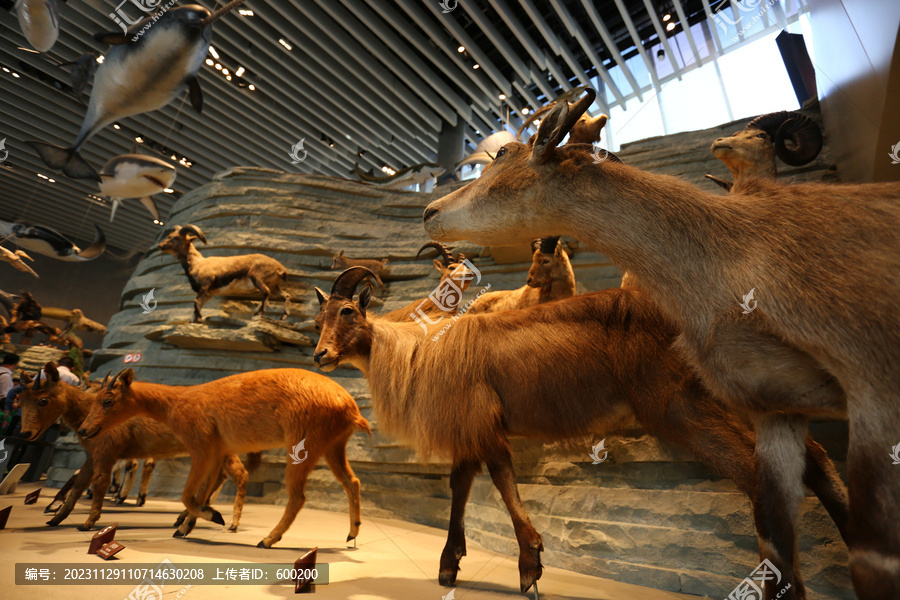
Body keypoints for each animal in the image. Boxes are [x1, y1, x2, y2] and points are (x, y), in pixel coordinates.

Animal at [18, 364, 256, 532]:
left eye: (42, 400)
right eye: (21, 400)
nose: (25, 434)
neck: (85, 413)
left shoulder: (107, 451)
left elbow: (99, 481)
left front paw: (87, 522)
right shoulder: (92, 454)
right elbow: (79, 482)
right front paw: (55, 517)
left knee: (239, 475)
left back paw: (228, 523)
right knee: (219, 477)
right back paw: (188, 518)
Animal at [76, 368, 370, 548]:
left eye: (108, 400)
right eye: (96, 398)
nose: (83, 430)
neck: (175, 404)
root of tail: (352, 409)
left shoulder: (202, 448)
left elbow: (187, 494)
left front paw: (213, 517)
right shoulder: (217, 452)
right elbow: (202, 493)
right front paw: (186, 527)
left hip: (303, 447)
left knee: (298, 497)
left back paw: (267, 539)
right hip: (333, 446)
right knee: (352, 481)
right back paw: (352, 533)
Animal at [158, 225, 292, 326]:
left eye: (175, 238)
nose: (160, 246)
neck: (197, 264)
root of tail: (280, 268)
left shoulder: (204, 287)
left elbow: (196, 302)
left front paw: (199, 320)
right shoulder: (208, 294)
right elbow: (198, 305)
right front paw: (194, 321)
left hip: (257, 278)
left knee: (266, 292)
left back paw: (257, 314)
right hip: (274, 285)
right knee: (286, 295)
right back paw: (282, 318)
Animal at [312, 268, 848, 600]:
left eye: (348, 313)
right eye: (318, 318)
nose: (319, 355)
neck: (420, 351)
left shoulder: (481, 423)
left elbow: (501, 479)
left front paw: (530, 567)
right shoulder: (472, 430)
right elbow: (461, 486)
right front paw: (450, 565)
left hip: (679, 406)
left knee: (759, 479)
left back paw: (783, 588)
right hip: (732, 402)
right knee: (815, 460)